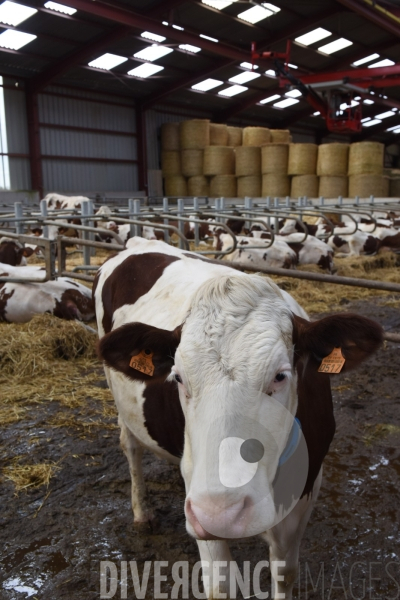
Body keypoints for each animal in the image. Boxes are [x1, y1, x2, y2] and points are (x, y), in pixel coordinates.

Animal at [92, 239, 382, 600]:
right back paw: (142, 513)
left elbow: (285, 572)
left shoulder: (306, 493)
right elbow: (220, 585)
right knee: (131, 448)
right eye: (178, 378)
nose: (221, 514)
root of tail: (141, 242)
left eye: (280, 375)